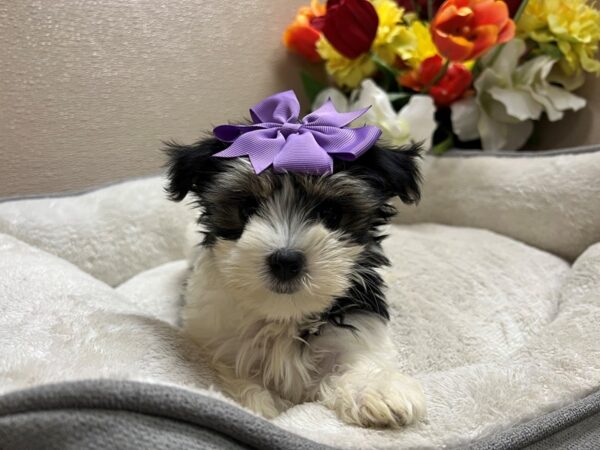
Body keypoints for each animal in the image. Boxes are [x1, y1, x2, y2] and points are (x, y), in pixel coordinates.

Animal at [165, 137, 426, 428]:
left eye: (330, 213)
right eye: (247, 209)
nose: (285, 261)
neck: (285, 312)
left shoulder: (357, 326)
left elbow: (356, 357)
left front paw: (374, 390)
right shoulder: (217, 338)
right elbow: (234, 375)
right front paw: (254, 405)